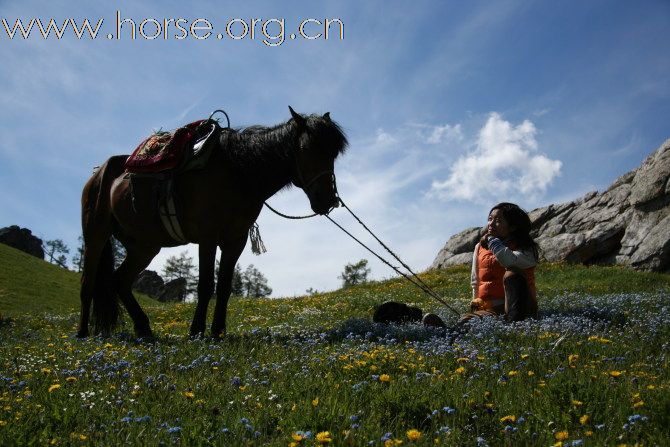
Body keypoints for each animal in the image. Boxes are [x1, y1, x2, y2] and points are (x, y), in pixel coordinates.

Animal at [80, 107, 346, 340]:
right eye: (307, 148)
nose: (328, 200)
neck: (237, 172)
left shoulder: (235, 240)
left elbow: (225, 286)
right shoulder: (207, 237)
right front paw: (197, 331)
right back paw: (83, 333)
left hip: (144, 246)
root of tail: (99, 173)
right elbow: (206, 285)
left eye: (333, 154)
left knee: (120, 281)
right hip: (96, 236)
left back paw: (144, 329)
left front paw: (218, 331)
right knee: (88, 284)